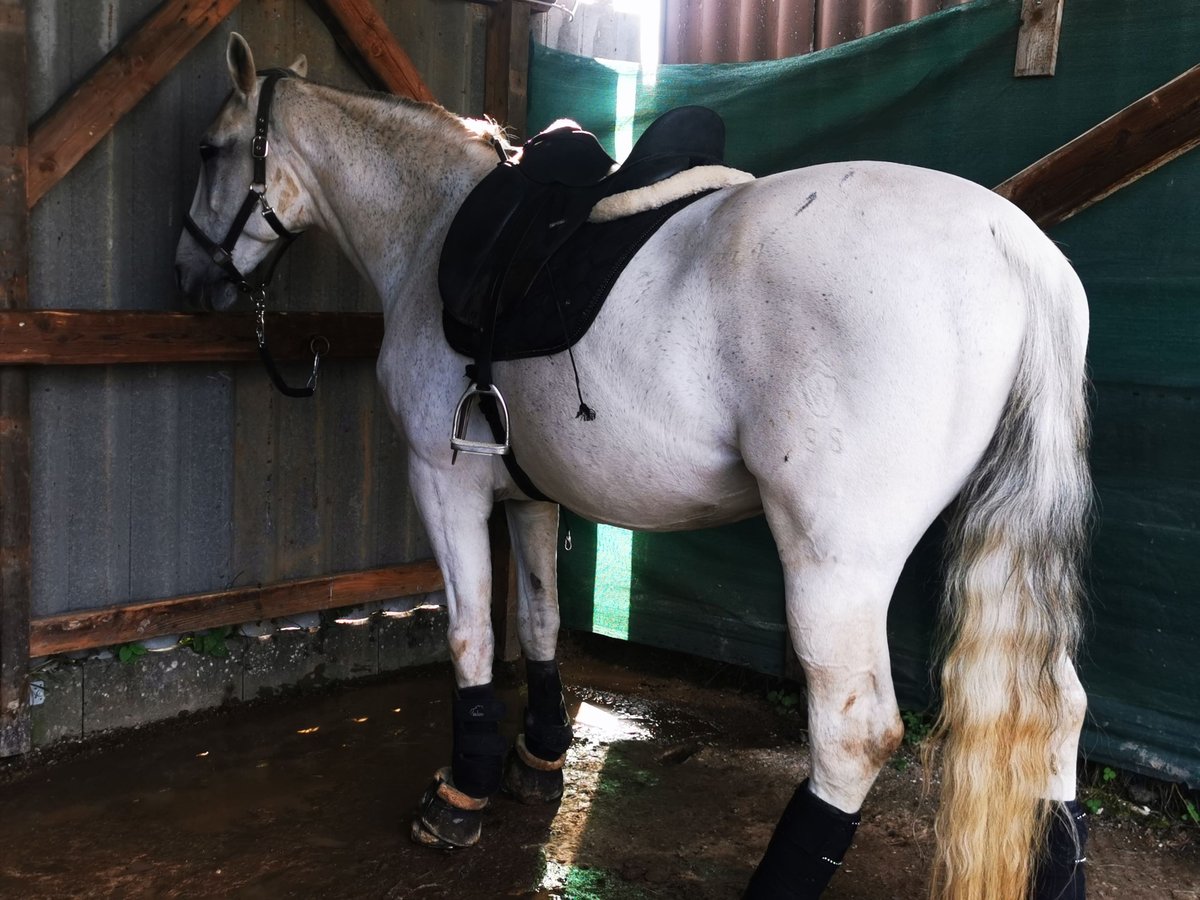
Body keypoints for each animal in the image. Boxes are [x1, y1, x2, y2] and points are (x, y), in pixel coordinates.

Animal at [175, 35, 1099, 900]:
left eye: (211, 150)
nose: (189, 277)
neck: (434, 225)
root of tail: (1016, 249)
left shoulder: (444, 482)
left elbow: (471, 634)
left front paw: (460, 796)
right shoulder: (530, 494)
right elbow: (540, 621)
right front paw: (539, 756)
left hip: (835, 563)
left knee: (856, 735)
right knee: (1057, 713)